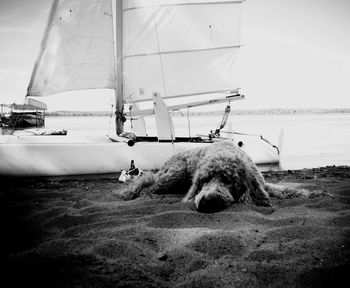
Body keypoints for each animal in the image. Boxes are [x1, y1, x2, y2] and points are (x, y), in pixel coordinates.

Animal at [116, 141, 318, 213]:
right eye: (203, 181)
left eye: (229, 181)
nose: (209, 200)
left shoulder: (263, 184)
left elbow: (286, 189)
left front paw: (310, 193)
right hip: (175, 173)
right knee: (147, 186)